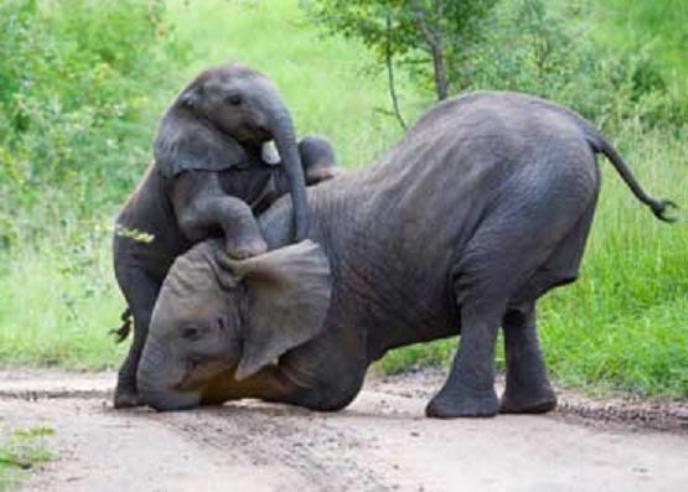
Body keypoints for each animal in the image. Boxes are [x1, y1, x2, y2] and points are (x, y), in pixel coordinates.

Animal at [113, 61, 338, 408]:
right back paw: (129, 401)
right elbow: (198, 216)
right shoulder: (187, 165)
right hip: (127, 257)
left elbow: (284, 175)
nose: (301, 236)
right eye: (235, 100)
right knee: (146, 316)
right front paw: (250, 252)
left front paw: (326, 175)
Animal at [133, 90, 672, 418]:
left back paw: (451, 413)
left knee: (482, 286)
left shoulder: (334, 311)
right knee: (518, 304)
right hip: (548, 198)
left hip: (534, 192)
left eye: (194, 331)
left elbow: (324, 387)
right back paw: (529, 408)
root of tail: (582, 126)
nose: (155, 396)